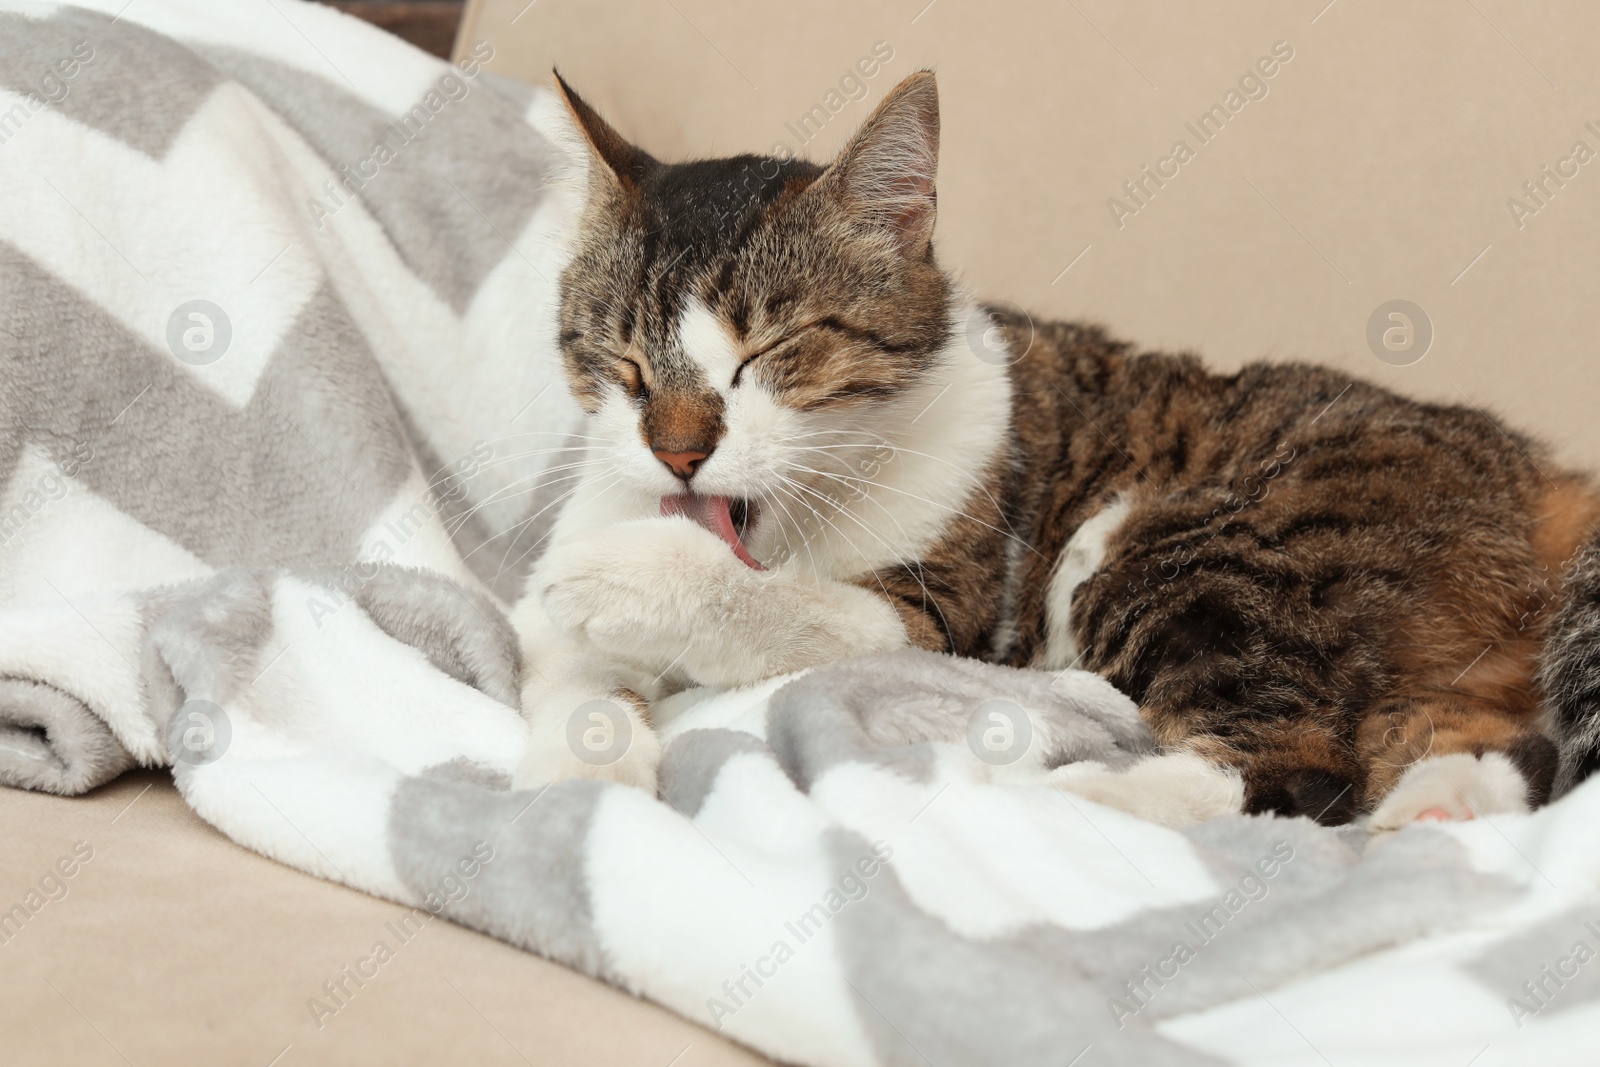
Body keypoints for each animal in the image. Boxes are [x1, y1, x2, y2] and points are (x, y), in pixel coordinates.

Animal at [508, 68, 1600, 831]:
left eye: (769, 352)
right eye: (621, 358)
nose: (677, 453)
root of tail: (1532, 468)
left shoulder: (942, 615)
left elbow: (799, 609)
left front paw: (638, 580)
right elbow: (564, 667)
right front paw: (588, 768)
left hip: (1188, 541)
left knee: (1292, 764)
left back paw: (1057, 796)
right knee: (1475, 738)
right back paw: (1441, 801)